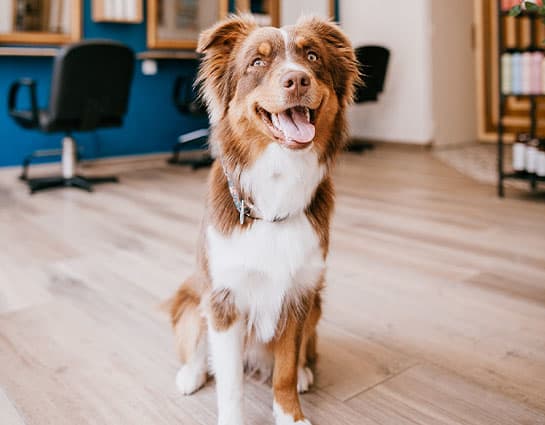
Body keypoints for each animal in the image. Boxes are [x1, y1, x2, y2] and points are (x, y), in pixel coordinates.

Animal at [168, 13, 360, 424]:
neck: (276, 185)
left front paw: (291, 415)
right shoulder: (224, 300)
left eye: (311, 56)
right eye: (257, 62)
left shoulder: (297, 295)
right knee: (197, 344)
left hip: (316, 304)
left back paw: (305, 372)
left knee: (303, 353)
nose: (297, 80)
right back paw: (191, 374)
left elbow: (284, 369)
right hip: (193, 297)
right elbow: (230, 382)